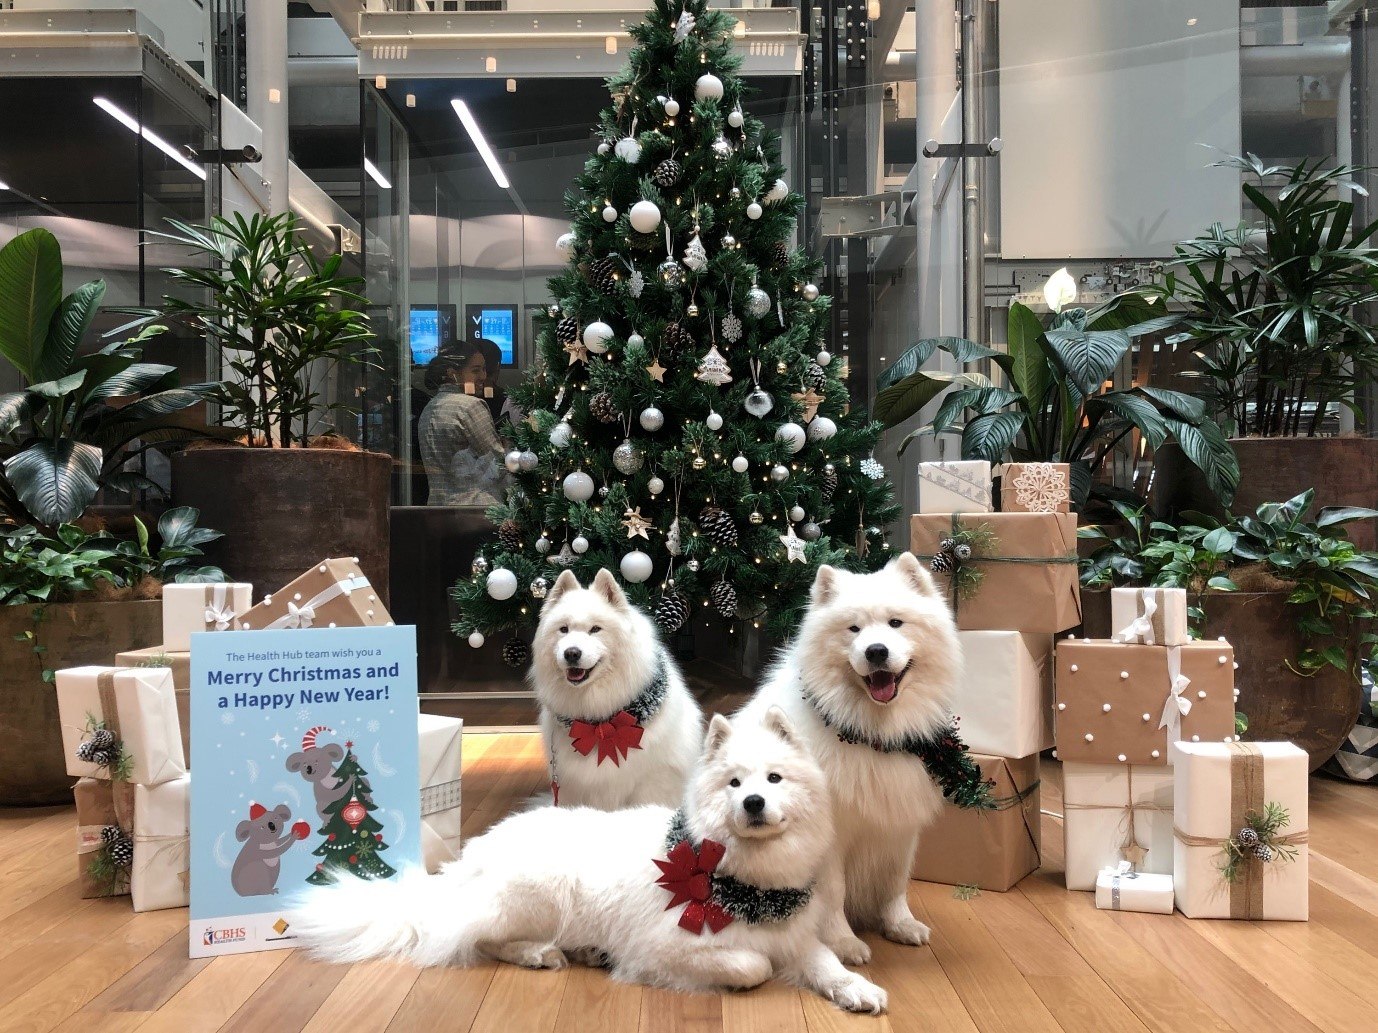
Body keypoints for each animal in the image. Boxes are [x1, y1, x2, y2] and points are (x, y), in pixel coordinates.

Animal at [293, 710, 892, 1019]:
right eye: (734, 783)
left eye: (773, 779)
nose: (753, 803)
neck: (743, 882)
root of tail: (466, 862)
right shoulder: (666, 945)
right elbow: (751, 966)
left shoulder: (791, 935)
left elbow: (824, 963)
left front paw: (857, 989)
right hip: (538, 892)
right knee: (476, 938)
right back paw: (541, 953)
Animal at [526, 570, 700, 815]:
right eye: (564, 629)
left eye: (595, 629)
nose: (571, 653)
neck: (601, 722)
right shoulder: (572, 786)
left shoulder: (653, 784)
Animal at [738, 553, 964, 969]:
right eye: (853, 629)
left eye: (896, 623)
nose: (875, 651)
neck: (873, 736)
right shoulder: (831, 839)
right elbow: (833, 893)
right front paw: (843, 943)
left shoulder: (899, 828)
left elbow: (895, 883)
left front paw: (900, 925)